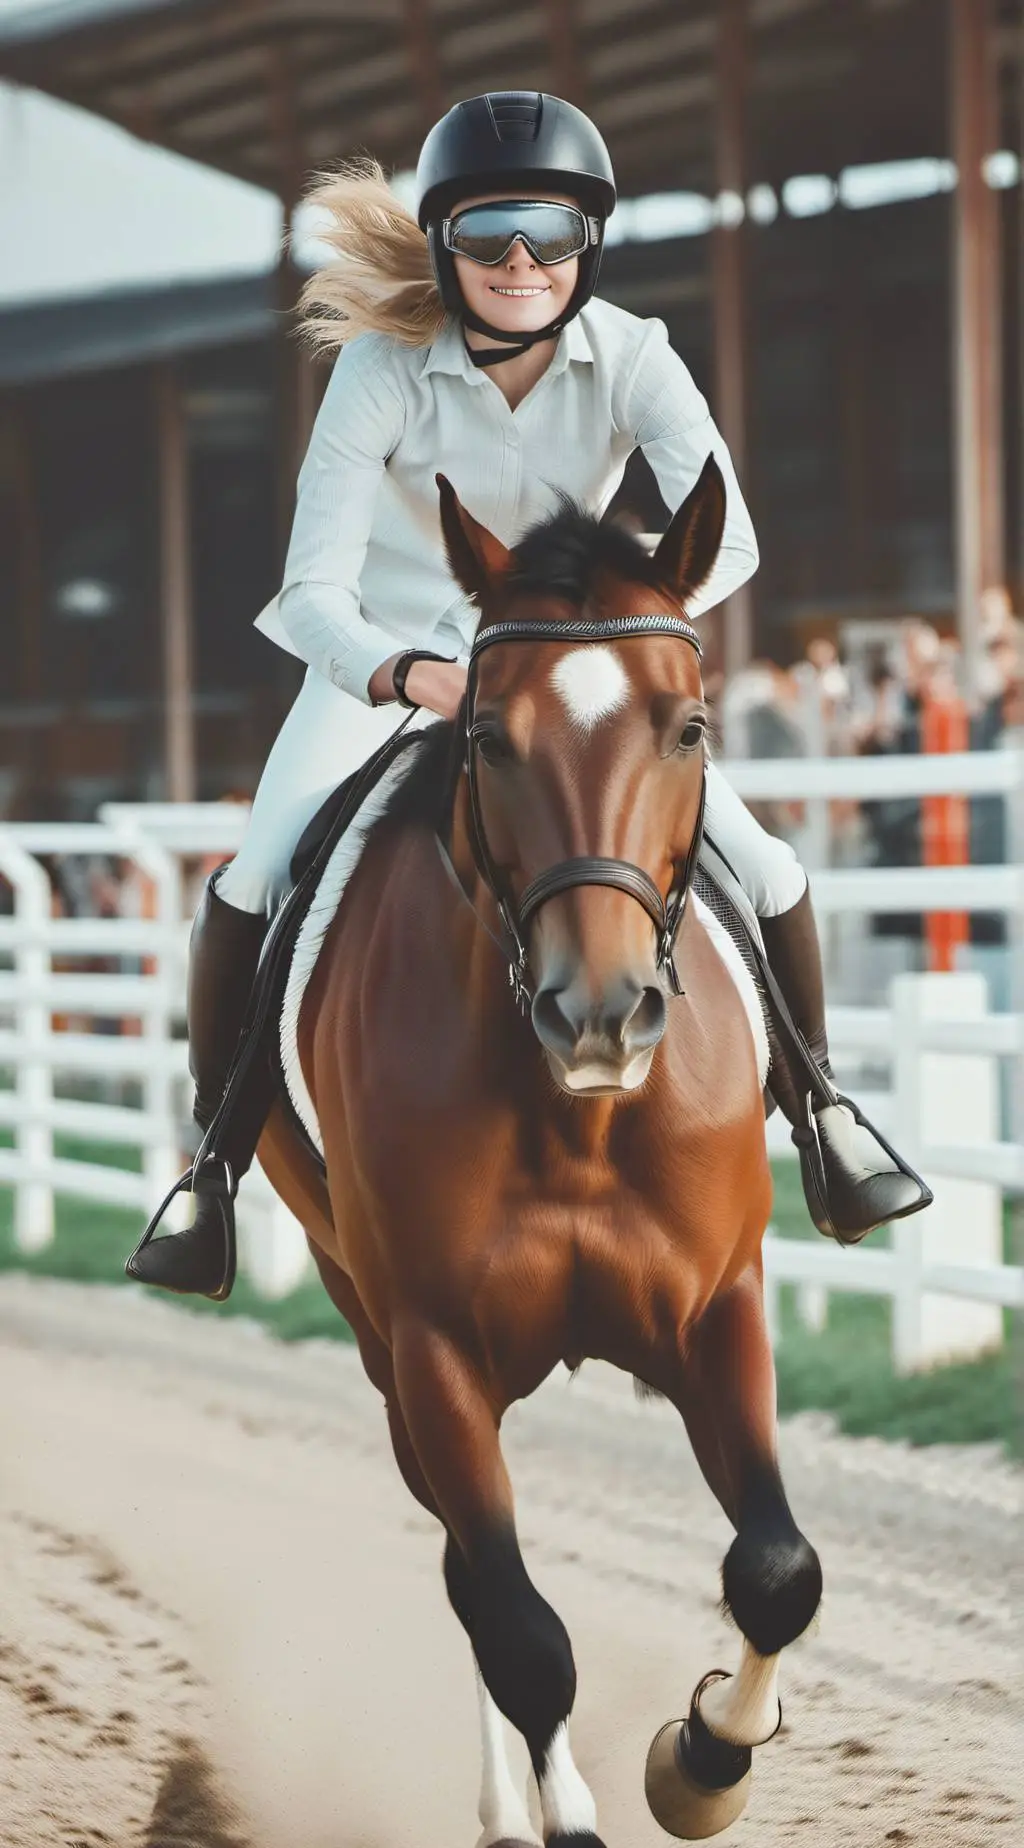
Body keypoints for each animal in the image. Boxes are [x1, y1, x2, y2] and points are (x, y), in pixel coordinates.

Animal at [257, 454, 823, 1845]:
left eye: (689, 728)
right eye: (486, 737)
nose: (599, 1013)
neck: (576, 1112)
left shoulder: (716, 1309)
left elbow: (776, 1569)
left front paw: (704, 1760)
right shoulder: (435, 1351)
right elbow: (517, 1630)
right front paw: (567, 1812)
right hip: (382, 1345)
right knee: (473, 1575)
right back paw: (506, 1808)